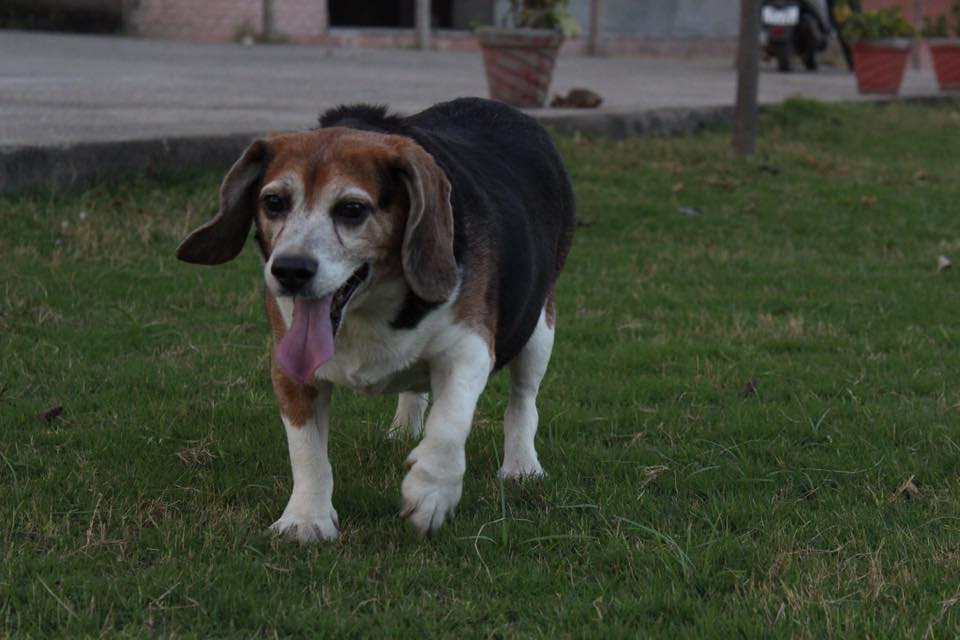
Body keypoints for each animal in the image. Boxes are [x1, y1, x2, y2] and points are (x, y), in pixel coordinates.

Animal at [176, 99, 572, 540]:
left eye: (352, 209)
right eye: (274, 202)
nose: (290, 270)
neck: (369, 307)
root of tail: (506, 109)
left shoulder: (468, 348)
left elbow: (449, 424)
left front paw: (430, 493)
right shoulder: (290, 364)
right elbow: (307, 450)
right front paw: (306, 518)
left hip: (538, 327)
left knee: (522, 399)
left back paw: (521, 465)